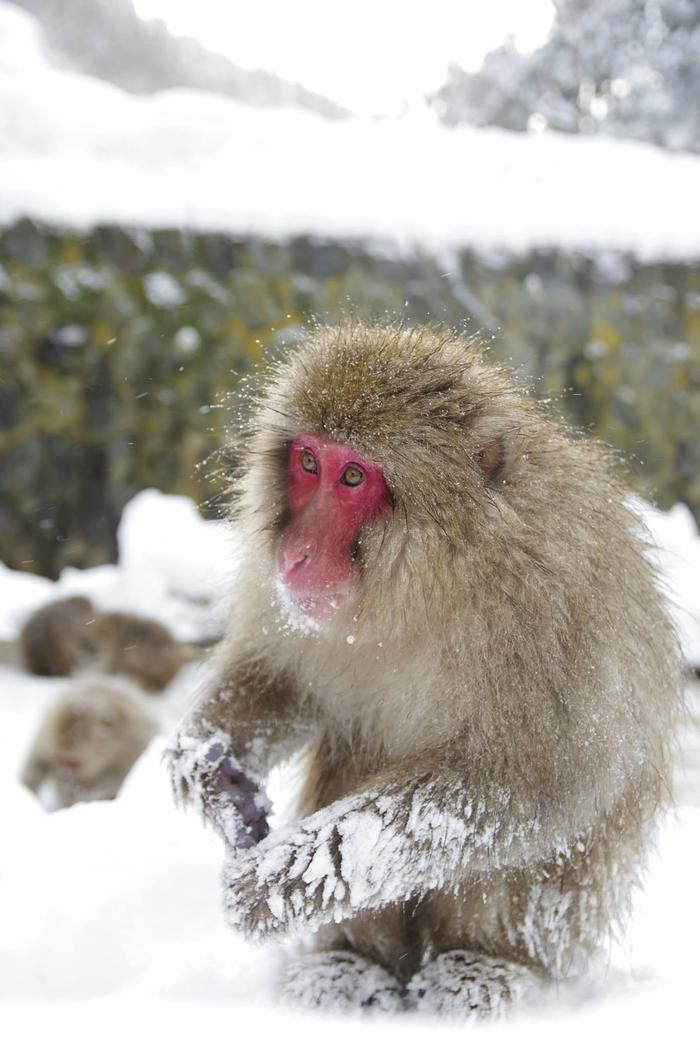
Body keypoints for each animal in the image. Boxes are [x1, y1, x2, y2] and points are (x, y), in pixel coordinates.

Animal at [21, 676, 156, 806]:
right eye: (60, 759)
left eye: (72, 763)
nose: (64, 773)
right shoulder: (47, 734)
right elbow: (37, 761)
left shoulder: (132, 748)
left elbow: (114, 780)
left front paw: (78, 790)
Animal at [166, 325, 680, 1016]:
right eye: (308, 464)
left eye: (354, 476)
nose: (296, 554)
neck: (434, 577)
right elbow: (280, 680)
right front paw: (208, 770)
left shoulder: (549, 611)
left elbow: (530, 786)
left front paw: (286, 882)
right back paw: (349, 965)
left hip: (564, 923)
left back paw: (484, 968)